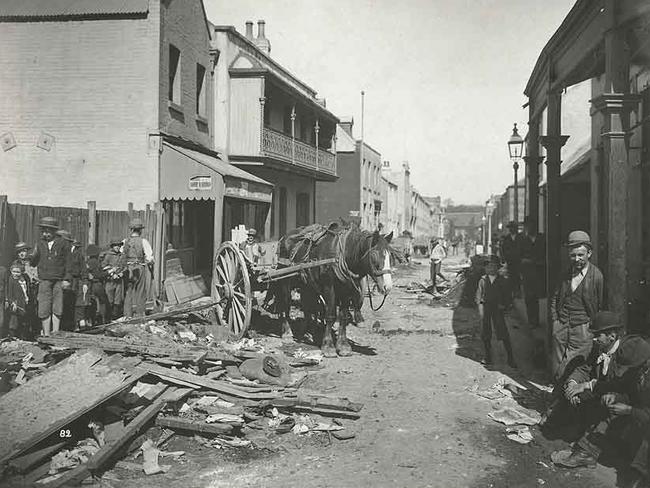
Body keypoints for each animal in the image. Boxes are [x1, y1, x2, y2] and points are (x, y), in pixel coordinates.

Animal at [268, 223, 392, 356]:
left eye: (390, 257)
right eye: (374, 255)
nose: (388, 287)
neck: (341, 255)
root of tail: (285, 237)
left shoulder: (346, 290)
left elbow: (343, 316)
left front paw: (343, 346)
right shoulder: (329, 287)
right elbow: (331, 315)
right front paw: (328, 346)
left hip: (306, 284)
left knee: (307, 306)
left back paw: (308, 330)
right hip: (285, 280)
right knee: (285, 304)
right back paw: (287, 332)